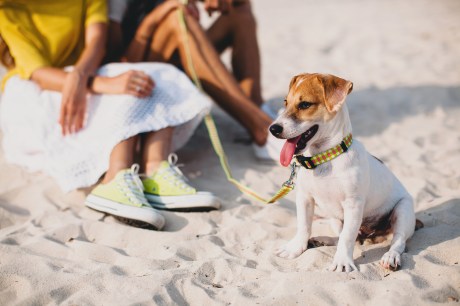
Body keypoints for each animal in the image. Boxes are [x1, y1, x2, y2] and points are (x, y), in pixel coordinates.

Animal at [270, 73, 416, 272]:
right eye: (285, 102)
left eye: (305, 104)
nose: (273, 129)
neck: (325, 159)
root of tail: (371, 235)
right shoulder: (305, 198)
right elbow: (304, 226)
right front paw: (296, 248)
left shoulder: (353, 205)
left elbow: (347, 237)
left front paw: (342, 262)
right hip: (334, 218)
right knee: (349, 238)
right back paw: (322, 240)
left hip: (403, 210)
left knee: (398, 241)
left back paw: (390, 257)